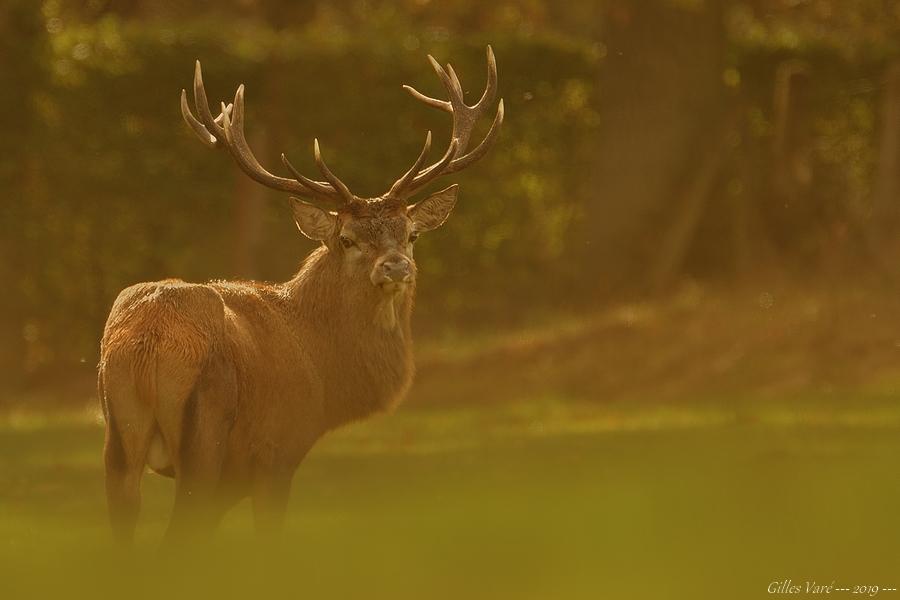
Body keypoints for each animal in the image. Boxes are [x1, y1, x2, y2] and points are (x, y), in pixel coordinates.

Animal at [99, 48, 506, 544]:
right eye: (347, 239)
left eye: (411, 234)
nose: (395, 266)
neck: (324, 374)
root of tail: (149, 340)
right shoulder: (277, 449)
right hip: (206, 432)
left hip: (118, 436)